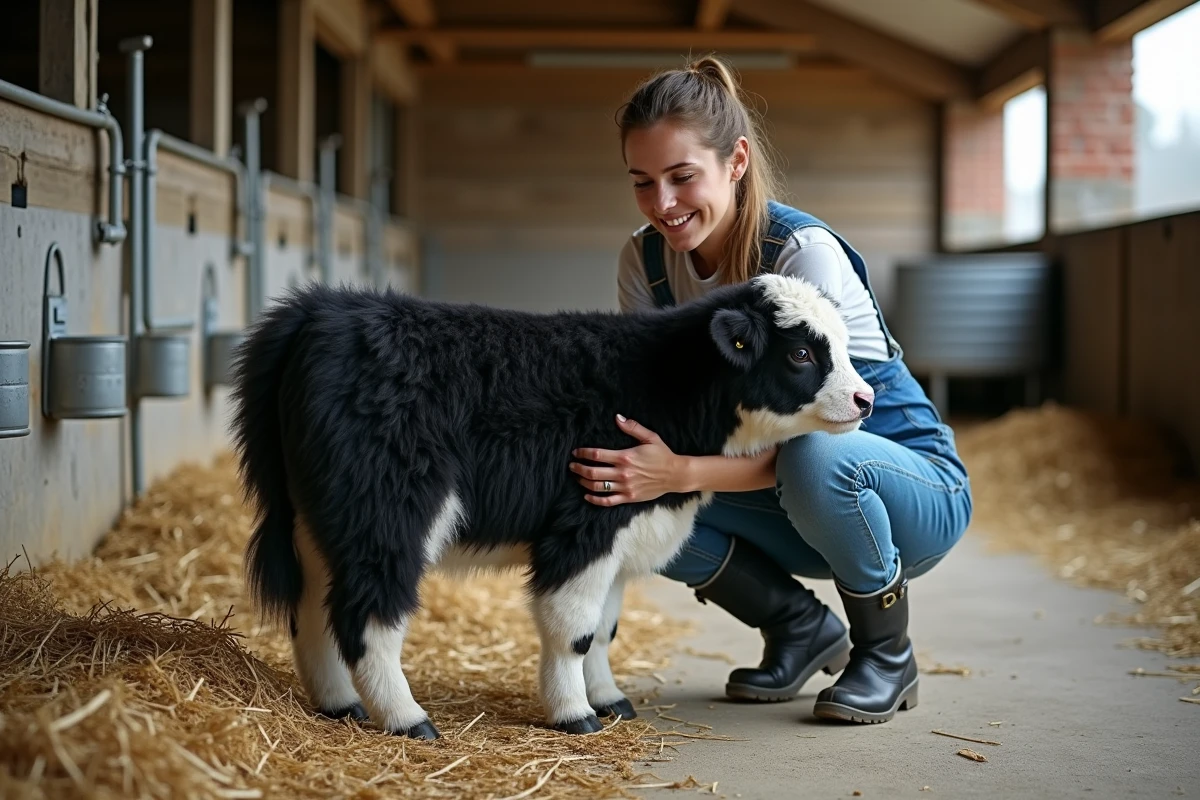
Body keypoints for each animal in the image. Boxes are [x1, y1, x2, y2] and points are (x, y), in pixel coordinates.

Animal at [227, 273, 874, 740]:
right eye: (800, 354)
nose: (866, 398)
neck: (664, 384)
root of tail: (324, 309)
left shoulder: (622, 536)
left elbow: (604, 629)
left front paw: (609, 700)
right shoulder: (584, 527)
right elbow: (573, 631)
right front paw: (573, 714)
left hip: (318, 519)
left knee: (311, 611)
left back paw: (339, 705)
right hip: (386, 512)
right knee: (368, 615)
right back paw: (408, 720)